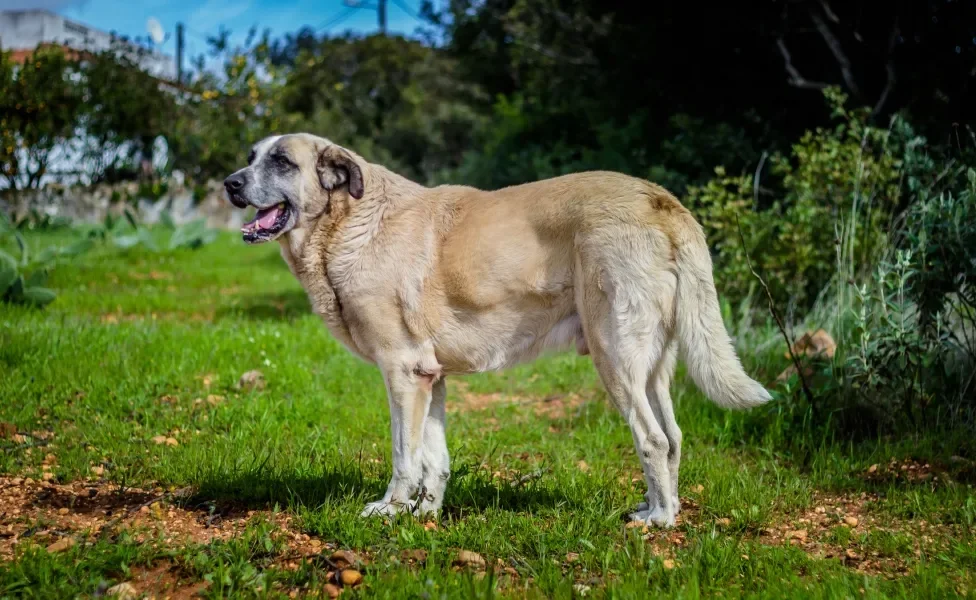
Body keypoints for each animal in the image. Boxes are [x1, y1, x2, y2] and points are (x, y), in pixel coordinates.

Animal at [221, 132, 772, 524]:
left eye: (282, 162)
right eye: (251, 156)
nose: (229, 183)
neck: (349, 222)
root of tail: (661, 199)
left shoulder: (402, 373)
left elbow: (403, 455)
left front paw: (390, 510)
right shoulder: (430, 377)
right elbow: (434, 457)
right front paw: (426, 514)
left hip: (614, 357)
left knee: (652, 439)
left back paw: (657, 521)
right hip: (652, 365)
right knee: (673, 437)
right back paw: (665, 508)